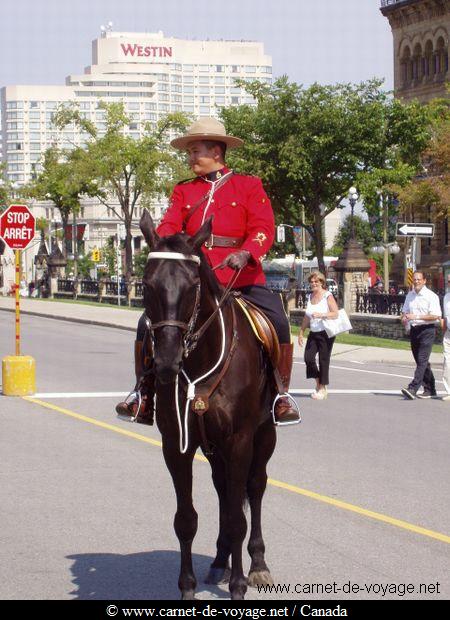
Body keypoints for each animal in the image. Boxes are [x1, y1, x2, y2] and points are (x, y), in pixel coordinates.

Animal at [139, 209, 276, 600]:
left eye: (191, 287)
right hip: (213, 447)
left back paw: (257, 564)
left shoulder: (240, 440)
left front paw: (240, 585)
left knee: (254, 488)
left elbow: (239, 518)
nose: (166, 361)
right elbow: (186, 519)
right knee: (222, 490)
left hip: (265, 434)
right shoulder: (176, 443)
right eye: (147, 285)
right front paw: (188, 589)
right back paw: (218, 560)